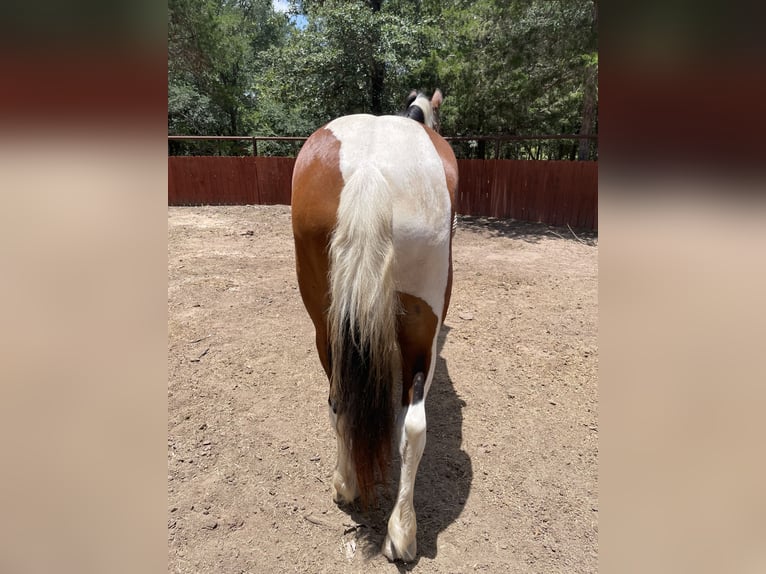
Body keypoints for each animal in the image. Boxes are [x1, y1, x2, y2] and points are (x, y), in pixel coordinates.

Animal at [290, 89, 457, 562]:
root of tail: (367, 170)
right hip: (424, 323)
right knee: (413, 425)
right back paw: (402, 532)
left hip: (325, 324)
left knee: (338, 401)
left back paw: (346, 485)